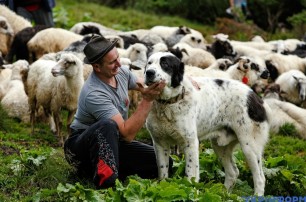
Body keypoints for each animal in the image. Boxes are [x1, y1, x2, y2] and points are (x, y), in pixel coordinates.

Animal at [145, 51, 268, 196]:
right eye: (149, 63)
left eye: (165, 64)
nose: (149, 72)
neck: (167, 104)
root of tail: (254, 96)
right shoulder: (159, 143)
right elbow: (163, 172)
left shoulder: (190, 143)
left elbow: (191, 173)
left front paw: (191, 192)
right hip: (220, 146)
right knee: (233, 172)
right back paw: (222, 195)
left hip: (249, 146)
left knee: (260, 177)